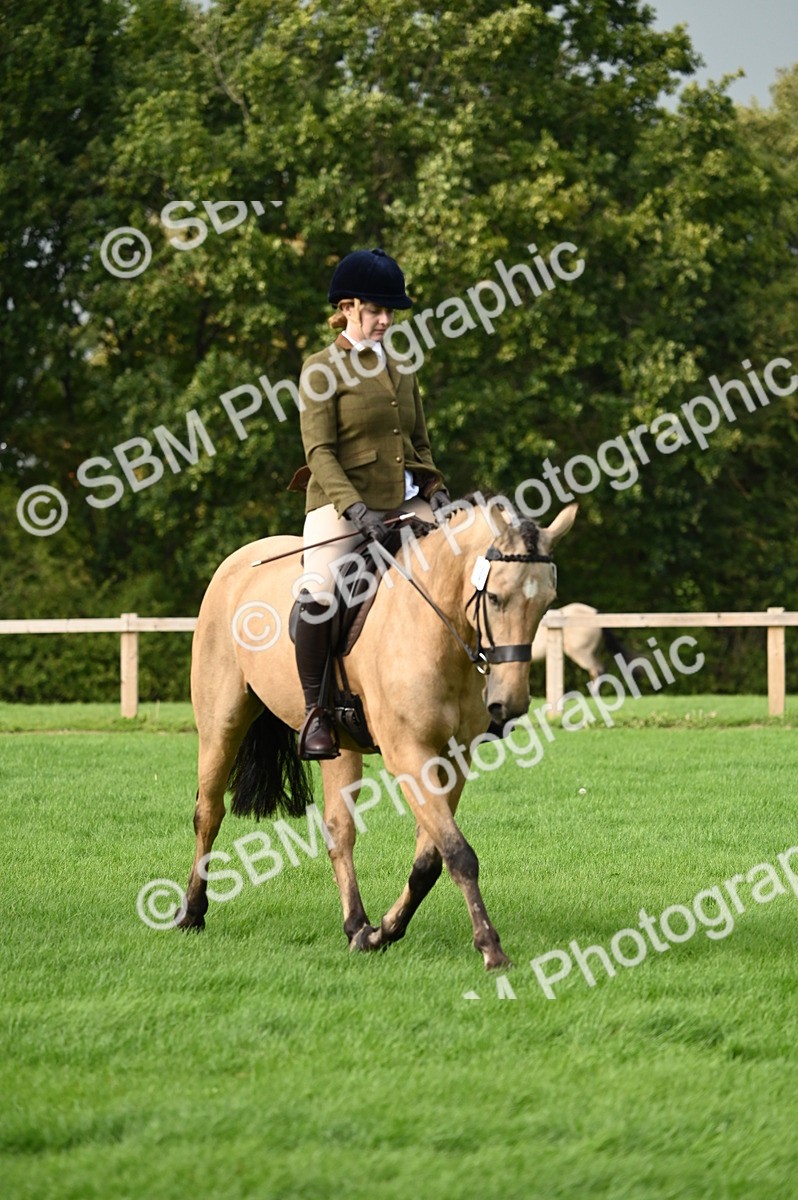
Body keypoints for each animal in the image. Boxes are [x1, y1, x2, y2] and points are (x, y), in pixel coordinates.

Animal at [178, 499, 578, 970]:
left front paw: (384, 931)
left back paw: (356, 926)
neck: (436, 627)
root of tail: (238, 562)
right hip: (221, 724)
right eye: (495, 597)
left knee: (338, 830)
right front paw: (490, 947)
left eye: (547, 603)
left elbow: (431, 860)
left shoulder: (453, 758)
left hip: (338, 744)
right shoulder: (409, 754)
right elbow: (459, 853)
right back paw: (191, 912)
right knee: (209, 813)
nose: (509, 705)